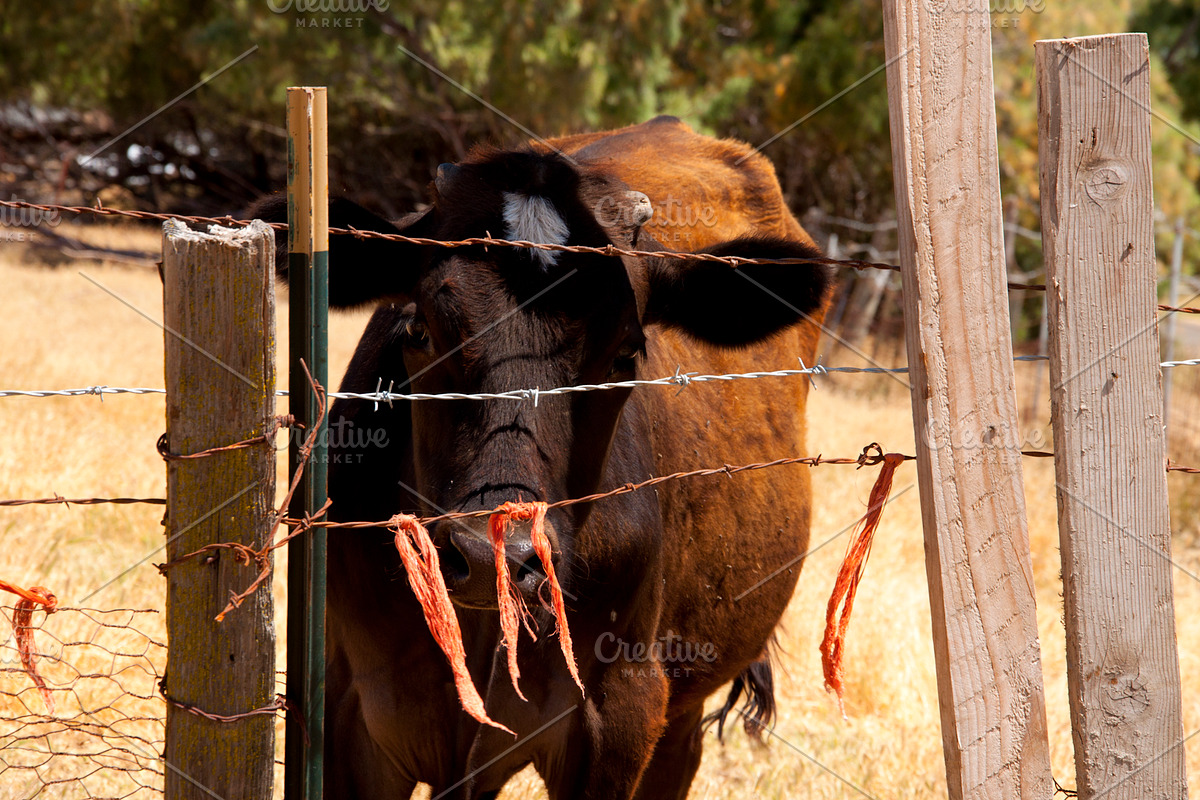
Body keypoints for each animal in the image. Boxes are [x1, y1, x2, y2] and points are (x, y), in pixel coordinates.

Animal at [253, 115, 831, 799]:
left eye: (626, 352)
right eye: (418, 329)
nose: (492, 557)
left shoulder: (620, 713)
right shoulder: (348, 711)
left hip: (680, 707)